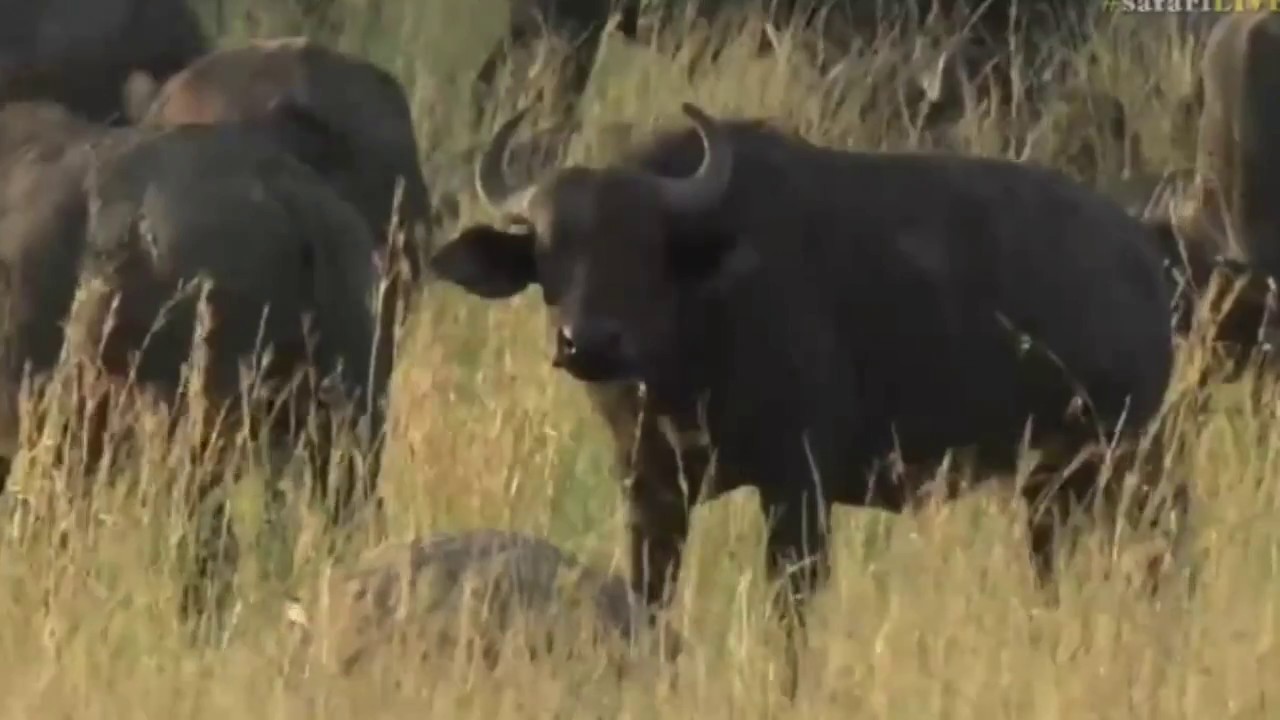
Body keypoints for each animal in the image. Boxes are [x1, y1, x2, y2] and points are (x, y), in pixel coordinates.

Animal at [429, 103, 1184, 687]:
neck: (693, 351)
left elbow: (790, 611)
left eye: (645, 248)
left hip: (1127, 462)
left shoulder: (798, 489)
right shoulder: (650, 490)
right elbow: (650, 596)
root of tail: (1141, 250)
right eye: (549, 252)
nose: (586, 343)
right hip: (1052, 487)